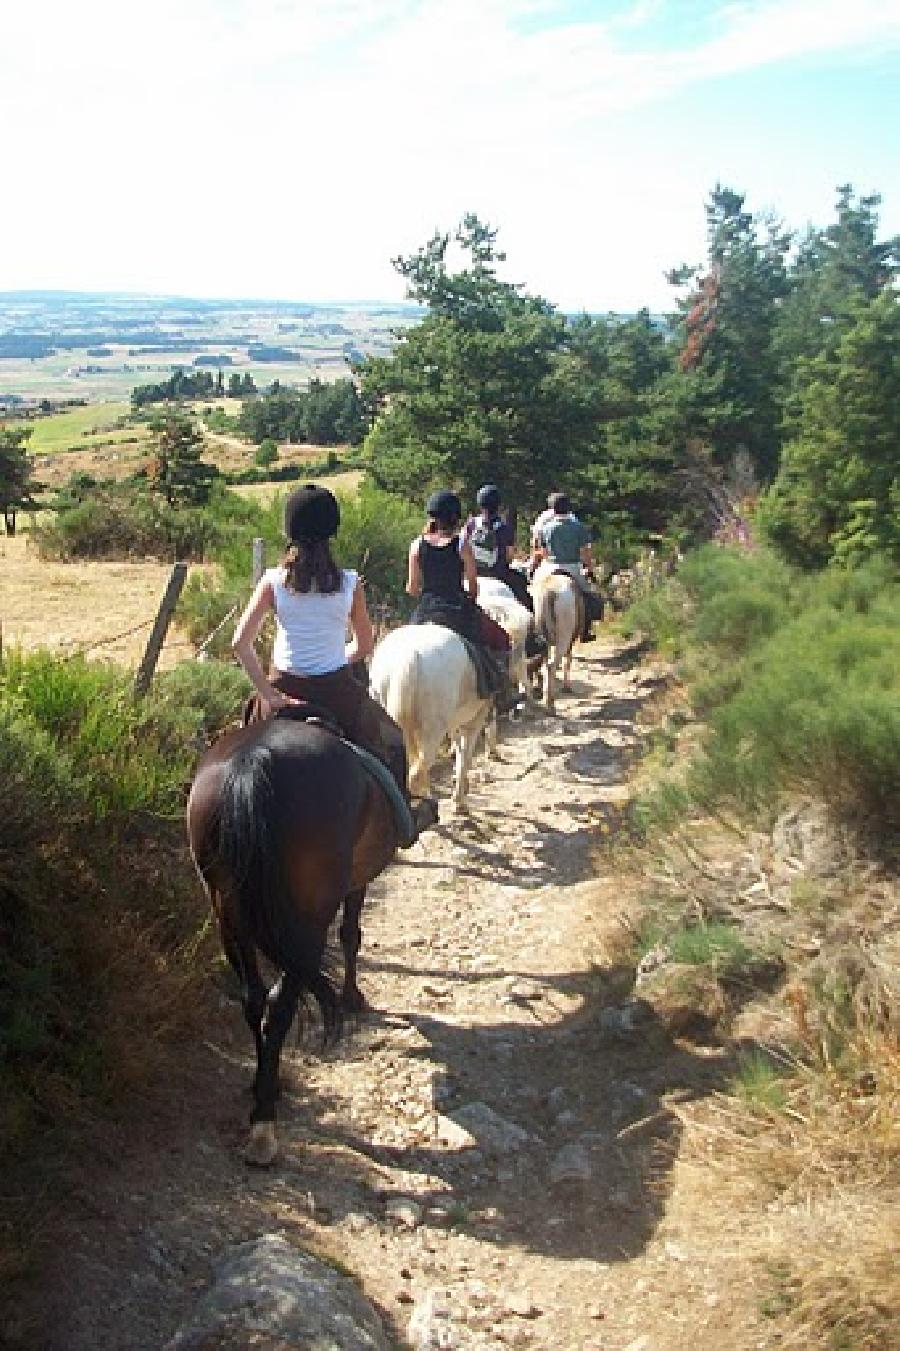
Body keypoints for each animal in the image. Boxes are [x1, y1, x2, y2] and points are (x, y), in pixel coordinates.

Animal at [187, 713, 397, 1167]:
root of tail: (253, 761)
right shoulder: (354, 884)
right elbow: (351, 934)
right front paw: (353, 996)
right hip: (311, 911)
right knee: (283, 1001)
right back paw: (264, 1126)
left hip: (228, 910)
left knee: (253, 996)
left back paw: (264, 1088)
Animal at [367, 624, 491, 810]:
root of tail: (409, 656)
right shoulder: (474, 722)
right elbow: (465, 758)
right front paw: (459, 800)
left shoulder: (453, 724)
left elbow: (459, 752)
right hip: (433, 730)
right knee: (416, 771)